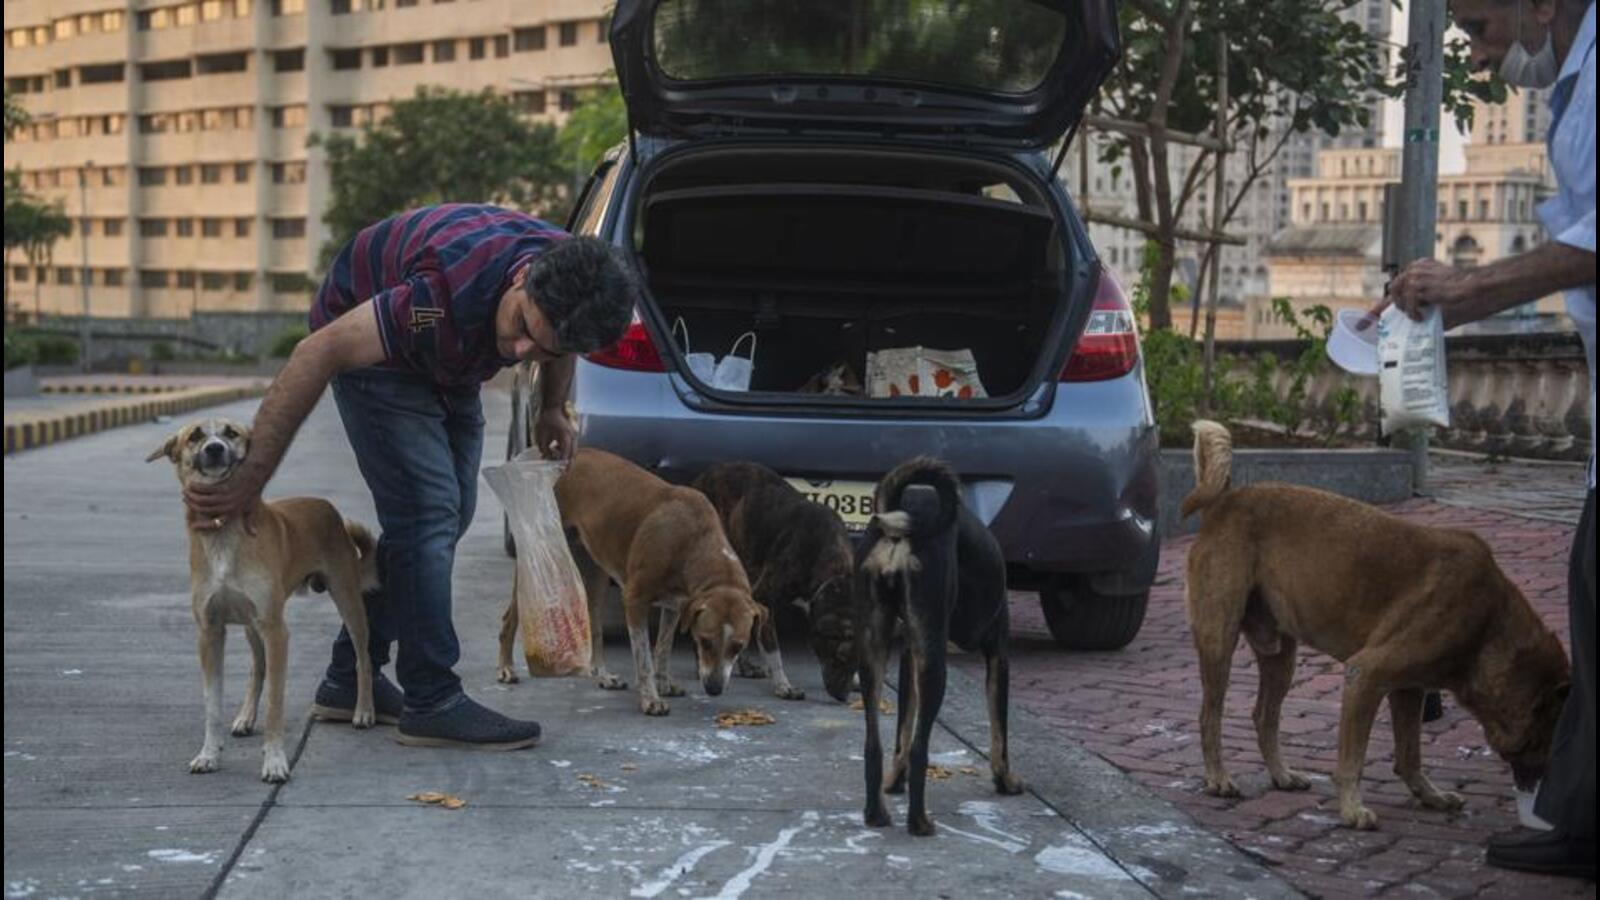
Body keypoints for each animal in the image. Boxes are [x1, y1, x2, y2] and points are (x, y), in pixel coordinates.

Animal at [147, 419, 377, 778]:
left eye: (231, 433)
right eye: (196, 435)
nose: (215, 449)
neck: (224, 533)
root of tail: (326, 506)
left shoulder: (277, 631)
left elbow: (275, 703)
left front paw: (275, 760)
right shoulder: (210, 632)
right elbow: (212, 704)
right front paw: (209, 754)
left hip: (347, 600)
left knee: (362, 657)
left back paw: (364, 711)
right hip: (250, 625)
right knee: (258, 667)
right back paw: (245, 717)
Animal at [505, 448, 768, 714]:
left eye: (739, 647)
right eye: (704, 641)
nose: (714, 689)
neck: (693, 541)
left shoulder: (677, 606)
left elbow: (663, 648)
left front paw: (664, 683)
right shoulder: (634, 600)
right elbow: (644, 659)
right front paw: (650, 698)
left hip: (597, 571)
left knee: (595, 624)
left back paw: (603, 675)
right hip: (537, 553)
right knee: (510, 617)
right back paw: (506, 669)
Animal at [691, 461, 857, 701]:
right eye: (840, 658)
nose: (843, 697)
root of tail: (704, 475)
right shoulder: (765, 598)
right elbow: (772, 648)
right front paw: (783, 685)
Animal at [857, 454, 1017, 832]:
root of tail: (906, 524)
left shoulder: (908, 657)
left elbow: (901, 734)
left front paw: (894, 782)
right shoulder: (998, 656)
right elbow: (999, 735)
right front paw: (1005, 781)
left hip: (873, 652)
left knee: (874, 744)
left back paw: (876, 813)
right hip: (934, 665)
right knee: (920, 750)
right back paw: (919, 823)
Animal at [1184, 419, 1568, 826]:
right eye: (1548, 743)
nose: (1535, 796)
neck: (1489, 629)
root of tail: (1223, 500)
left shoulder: (1409, 689)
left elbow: (1410, 755)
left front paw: (1430, 795)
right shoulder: (1365, 675)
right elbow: (1353, 760)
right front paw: (1352, 809)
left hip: (1280, 656)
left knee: (1263, 716)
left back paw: (1282, 775)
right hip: (1219, 639)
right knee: (1209, 716)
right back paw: (1218, 778)